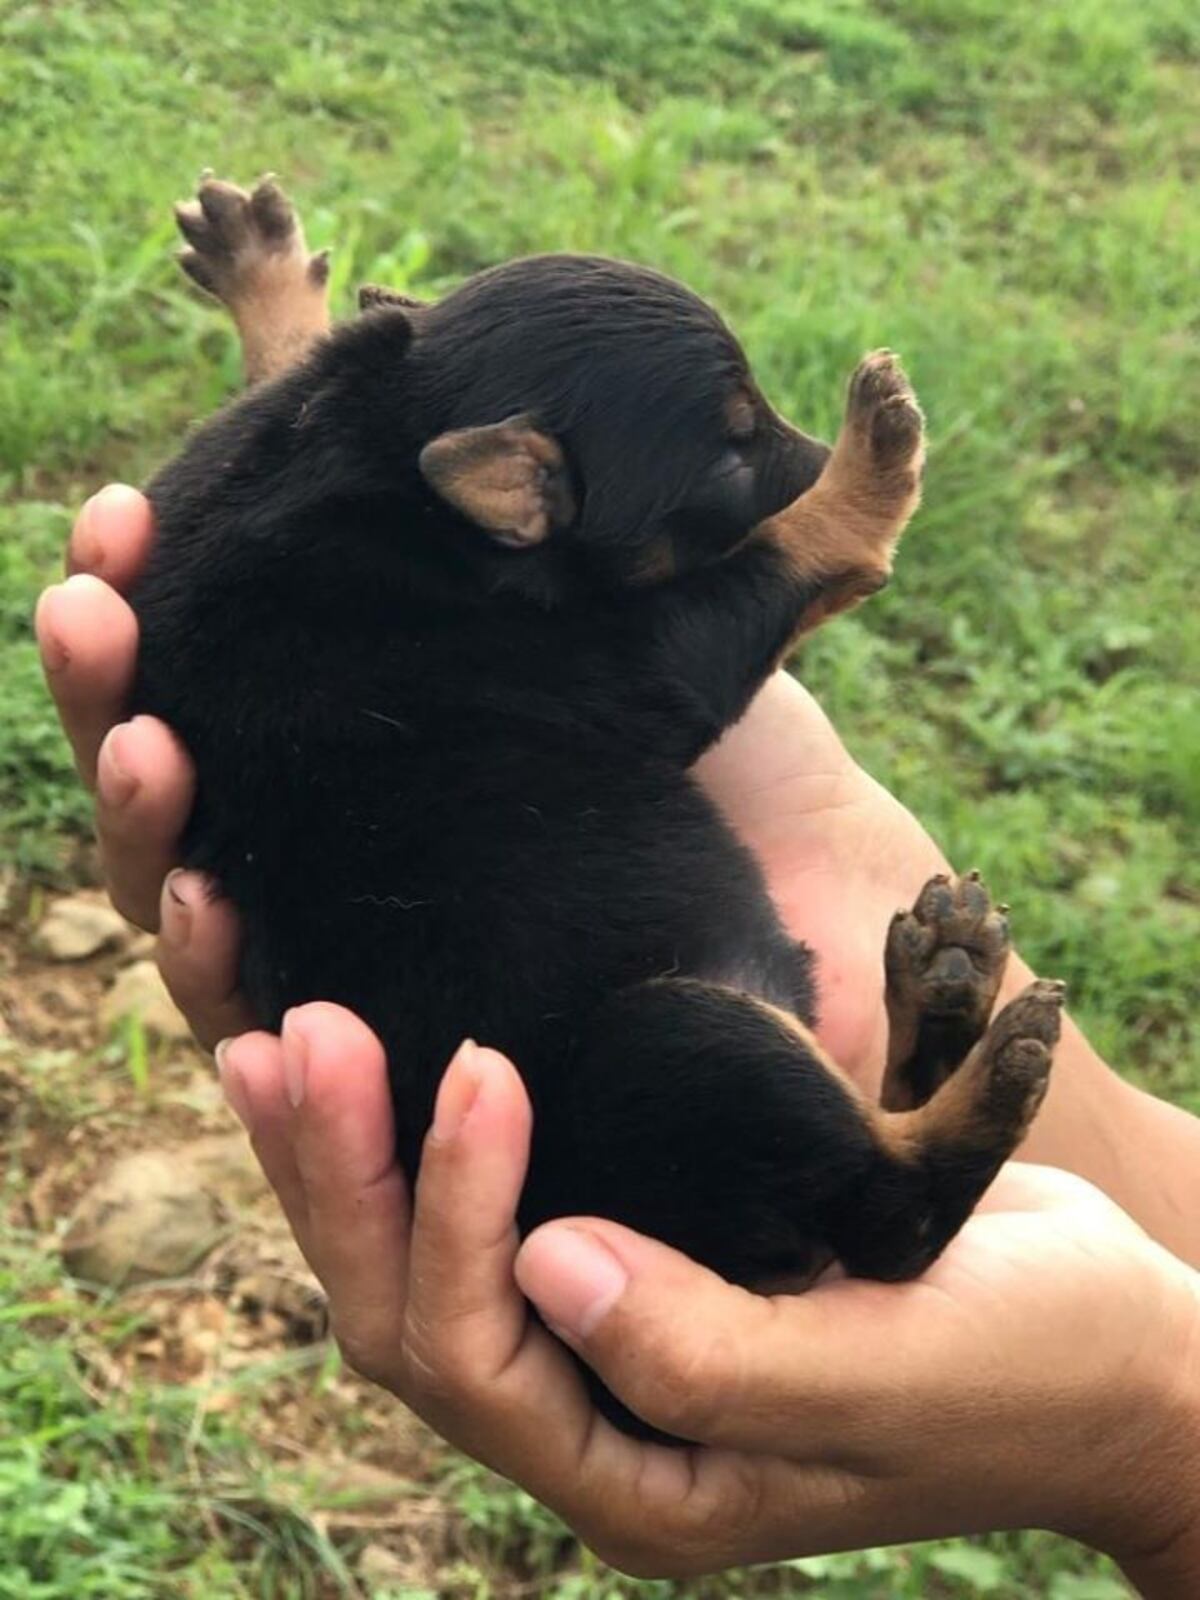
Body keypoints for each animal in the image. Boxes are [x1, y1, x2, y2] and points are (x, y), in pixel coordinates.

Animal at [136, 175, 1068, 1440]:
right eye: (735, 442)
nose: (822, 443)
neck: (393, 453)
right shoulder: (652, 655)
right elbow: (784, 554)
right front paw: (870, 460)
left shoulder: (290, 415)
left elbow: (292, 355)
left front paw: (264, 273)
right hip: (681, 1042)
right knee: (895, 1216)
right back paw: (993, 1068)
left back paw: (942, 983)